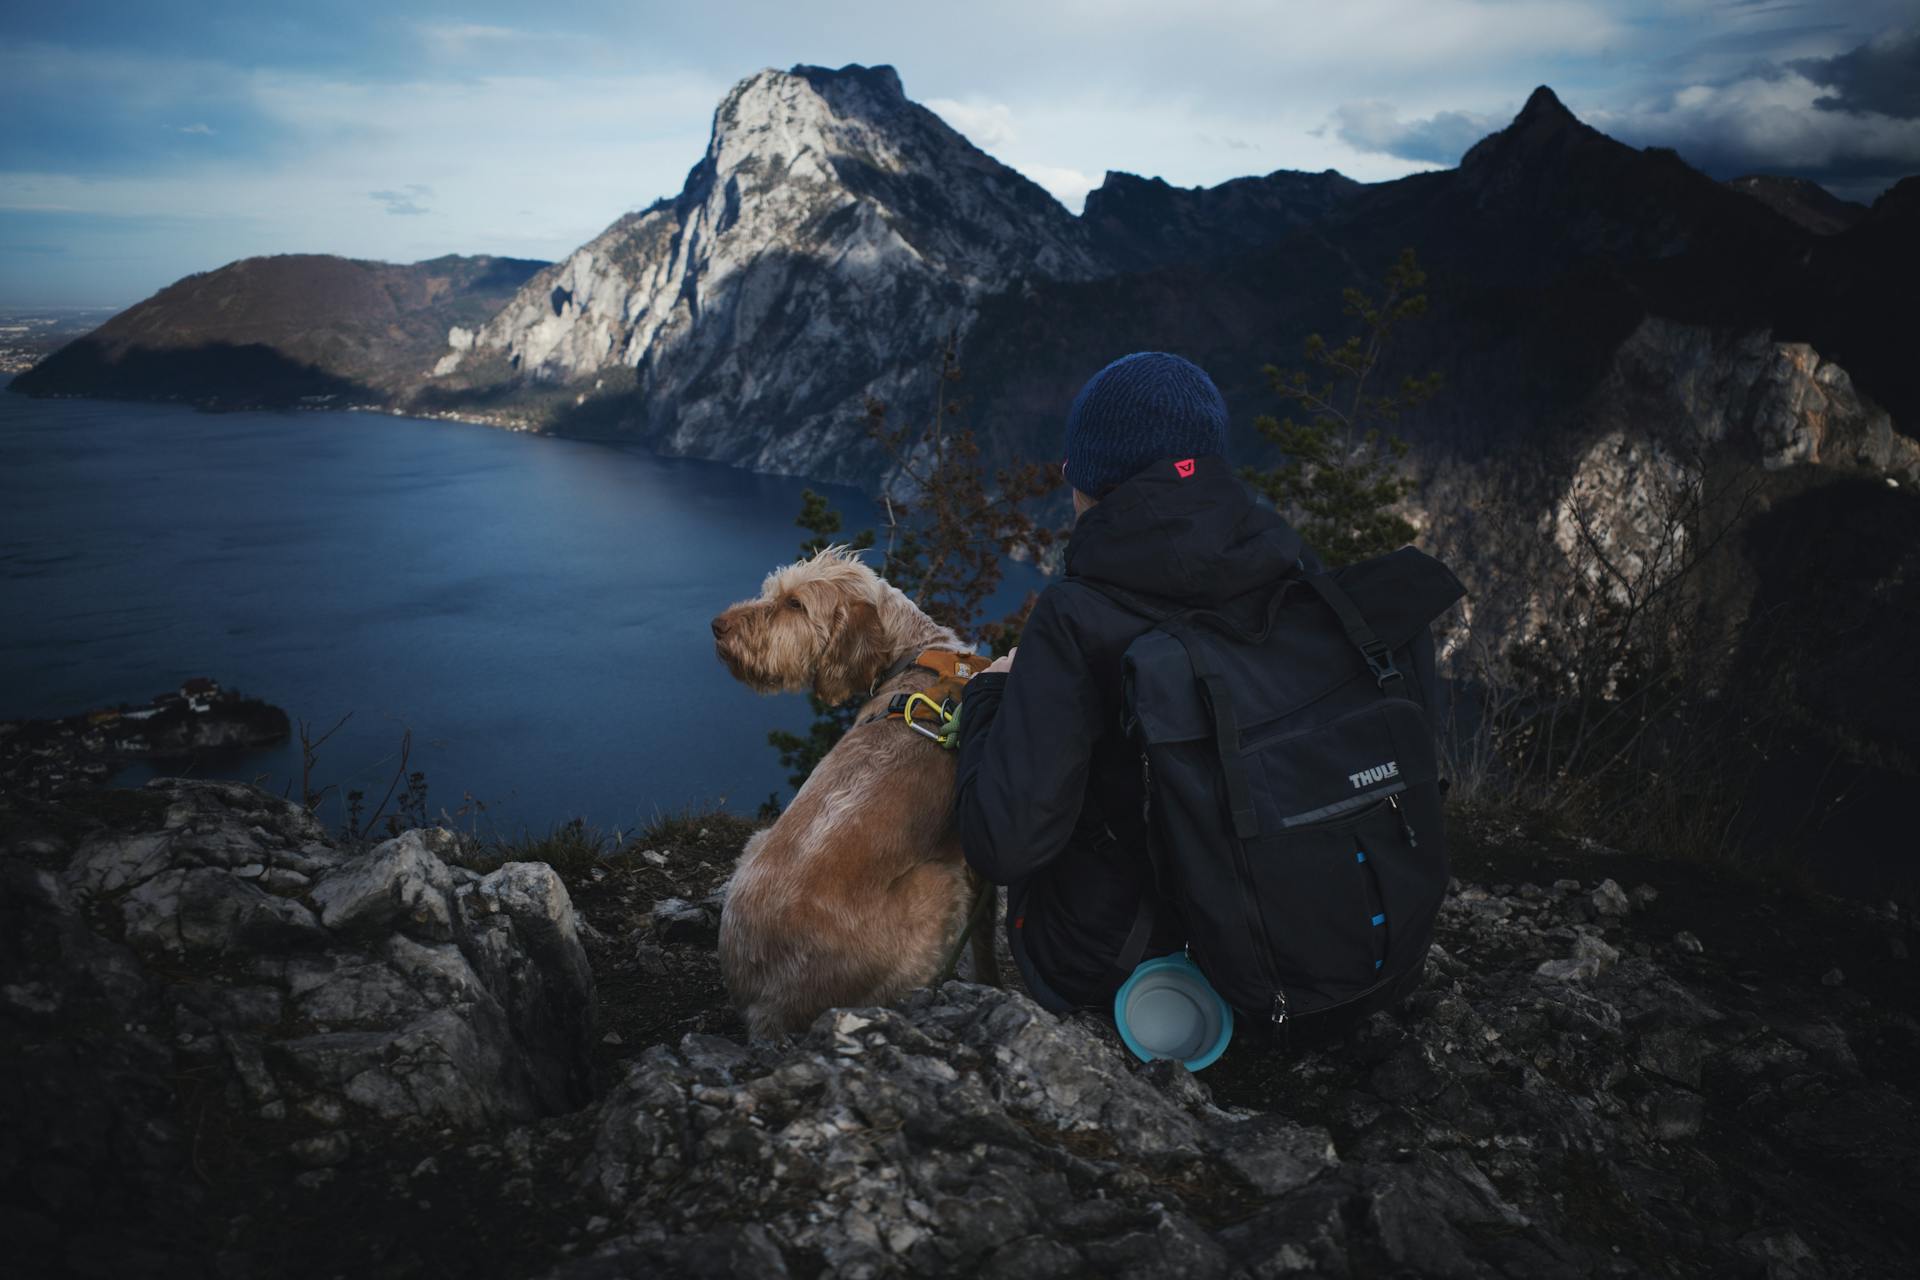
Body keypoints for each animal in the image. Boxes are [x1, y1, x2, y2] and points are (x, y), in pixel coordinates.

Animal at [714, 545, 998, 1036]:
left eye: (795, 604)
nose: (718, 626)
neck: (918, 655)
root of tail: (766, 1006)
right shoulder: (977, 863)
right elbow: (986, 946)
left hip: (756, 841)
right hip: (941, 885)